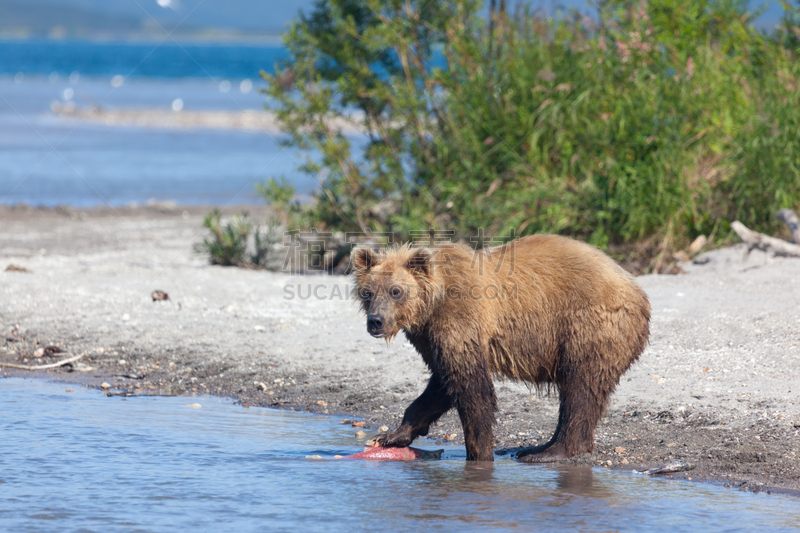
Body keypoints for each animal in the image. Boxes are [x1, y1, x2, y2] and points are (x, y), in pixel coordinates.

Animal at [354, 235, 652, 460]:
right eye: (368, 292)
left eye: (395, 291)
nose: (376, 321)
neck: (432, 304)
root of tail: (639, 293)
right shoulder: (430, 336)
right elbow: (441, 383)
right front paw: (392, 435)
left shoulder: (460, 317)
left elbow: (471, 386)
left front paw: (479, 454)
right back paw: (541, 446)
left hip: (589, 325)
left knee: (582, 386)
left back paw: (551, 452)